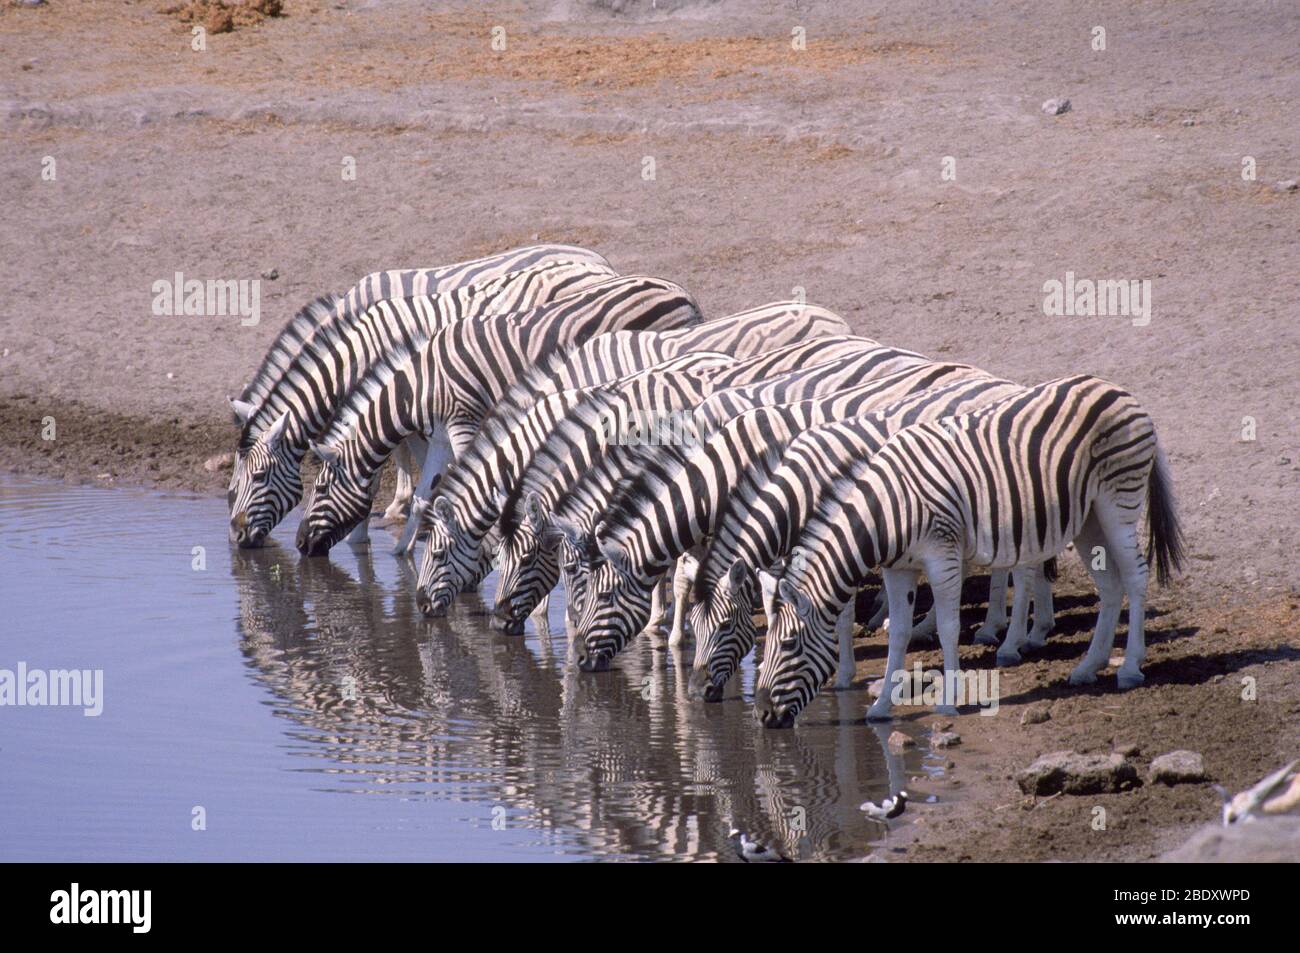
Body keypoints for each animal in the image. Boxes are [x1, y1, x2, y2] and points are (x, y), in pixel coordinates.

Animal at [227, 255, 616, 548]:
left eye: (258, 476)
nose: (237, 534)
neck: (354, 351)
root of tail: (596, 263)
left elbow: (387, 462)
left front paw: (367, 531)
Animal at [294, 274, 703, 557]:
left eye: (319, 489)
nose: (300, 546)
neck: (421, 384)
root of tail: (682, 291)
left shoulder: (463, 421)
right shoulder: (440, 434)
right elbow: (426, 490)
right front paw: (402, 552)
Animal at [686, 375, 1055, 703]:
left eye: (724, 626)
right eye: (694, 627)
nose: (696, 692)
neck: (799, 492)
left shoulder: (839, 539)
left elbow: (841, 611)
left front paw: (844, 673)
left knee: (1023, 567)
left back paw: (1009, 640)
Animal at [753, 375, 1186, 728]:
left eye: (788, 644)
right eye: (767, 645)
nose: (762, 714)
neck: (887, 513)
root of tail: (1120, 390)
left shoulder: (941, 556)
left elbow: (948, 627)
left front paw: (948, 700)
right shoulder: (899, 568)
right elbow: (900, 634)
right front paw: (881, 707)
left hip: (1119, 501)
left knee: (1136, 576)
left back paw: (1129, 668)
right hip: (1088, 518)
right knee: (1111, 587)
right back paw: (1088, 667)